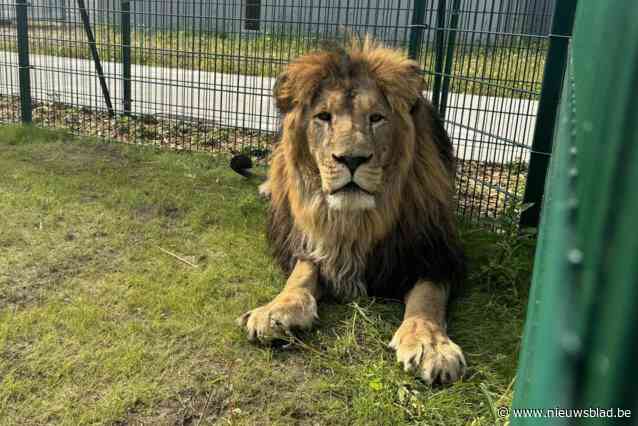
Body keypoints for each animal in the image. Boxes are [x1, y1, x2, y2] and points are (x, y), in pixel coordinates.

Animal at [238, 38, 468, 386]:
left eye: (376, 118)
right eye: (323, 116)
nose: (352, 159)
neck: (354, 219)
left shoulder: (436, 251)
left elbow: (426, 298)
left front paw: (429, 343)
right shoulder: (311, 239)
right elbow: (301, 273)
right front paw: (277, 309)